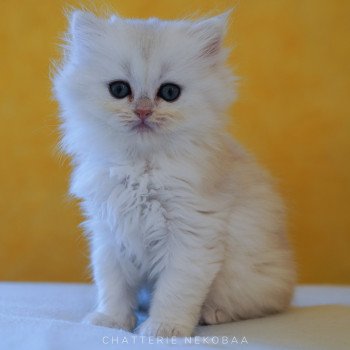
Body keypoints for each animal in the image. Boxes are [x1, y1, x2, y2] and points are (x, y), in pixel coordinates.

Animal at [54, 8, 296, 336]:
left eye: (169, 93)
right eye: (119, 90)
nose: (143, 111)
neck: (142, 168)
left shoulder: (191, 234)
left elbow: (175, 291)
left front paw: (163, 328)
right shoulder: (109, 233)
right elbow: (113, 286)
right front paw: (111, 321)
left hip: (251, 278)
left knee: (259, 304)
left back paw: (212, 314)